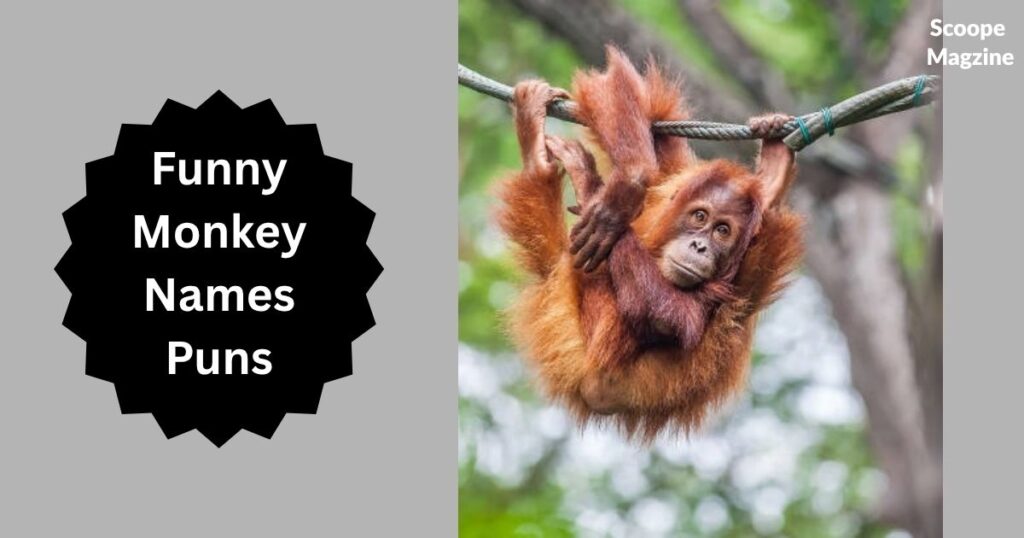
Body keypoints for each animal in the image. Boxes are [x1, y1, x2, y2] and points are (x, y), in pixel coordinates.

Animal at [494, 47, 803, 441]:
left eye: (722, 231)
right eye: (700, 217)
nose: (700, 247)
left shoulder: (736, 284)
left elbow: (672, 318)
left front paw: (600, 192)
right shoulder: (676, 181)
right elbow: (622, 93)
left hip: (575, 337)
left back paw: (546, 165)